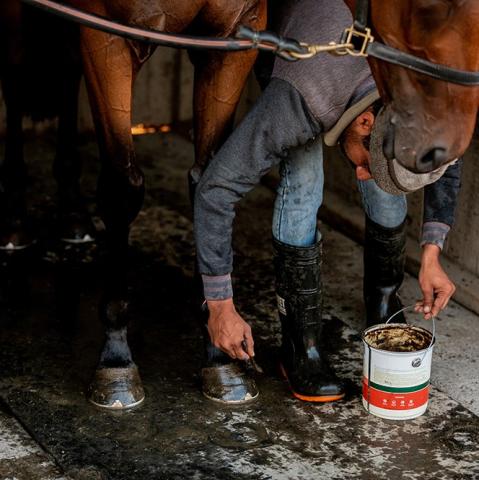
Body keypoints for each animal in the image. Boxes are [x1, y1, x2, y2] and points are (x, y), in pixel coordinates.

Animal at [69, 0, 266, 408]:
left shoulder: (235, 35)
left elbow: (212, 180)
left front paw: (220, 355)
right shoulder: (104, 34)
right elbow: (121, 188)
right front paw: (115, 360)